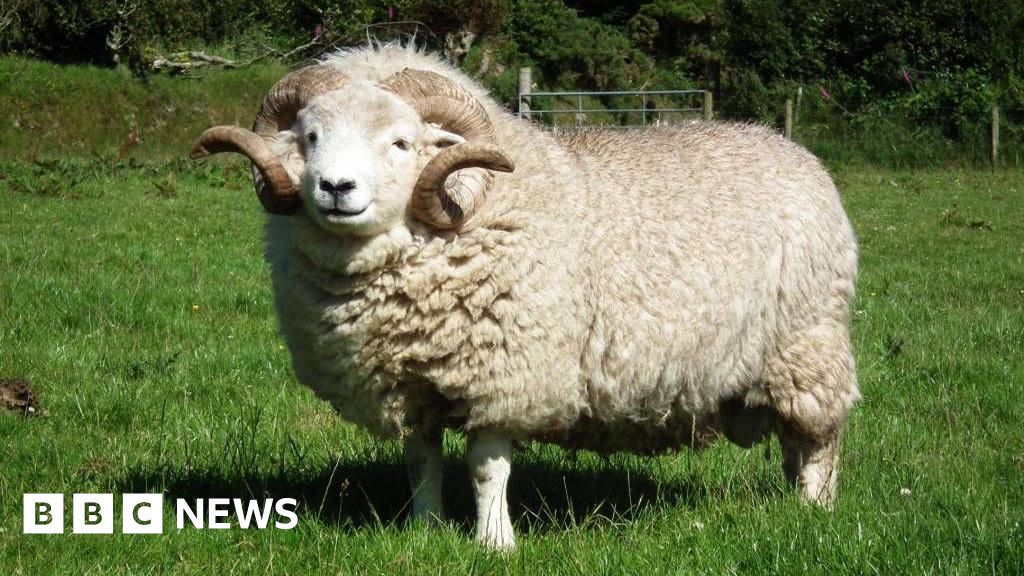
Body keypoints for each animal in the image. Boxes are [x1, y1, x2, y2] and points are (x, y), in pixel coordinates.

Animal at [190, 43, 856, 545]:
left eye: (402, 143)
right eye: (309, 136)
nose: (335, 187)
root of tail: (792, 149)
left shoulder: (504, 374)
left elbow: (487, 468)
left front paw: (494, 542)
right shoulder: (409, 383)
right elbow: (421, 463)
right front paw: (425, 531)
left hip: (807, 344)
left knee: (820, 439)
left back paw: (813, 513)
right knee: (795, 440)